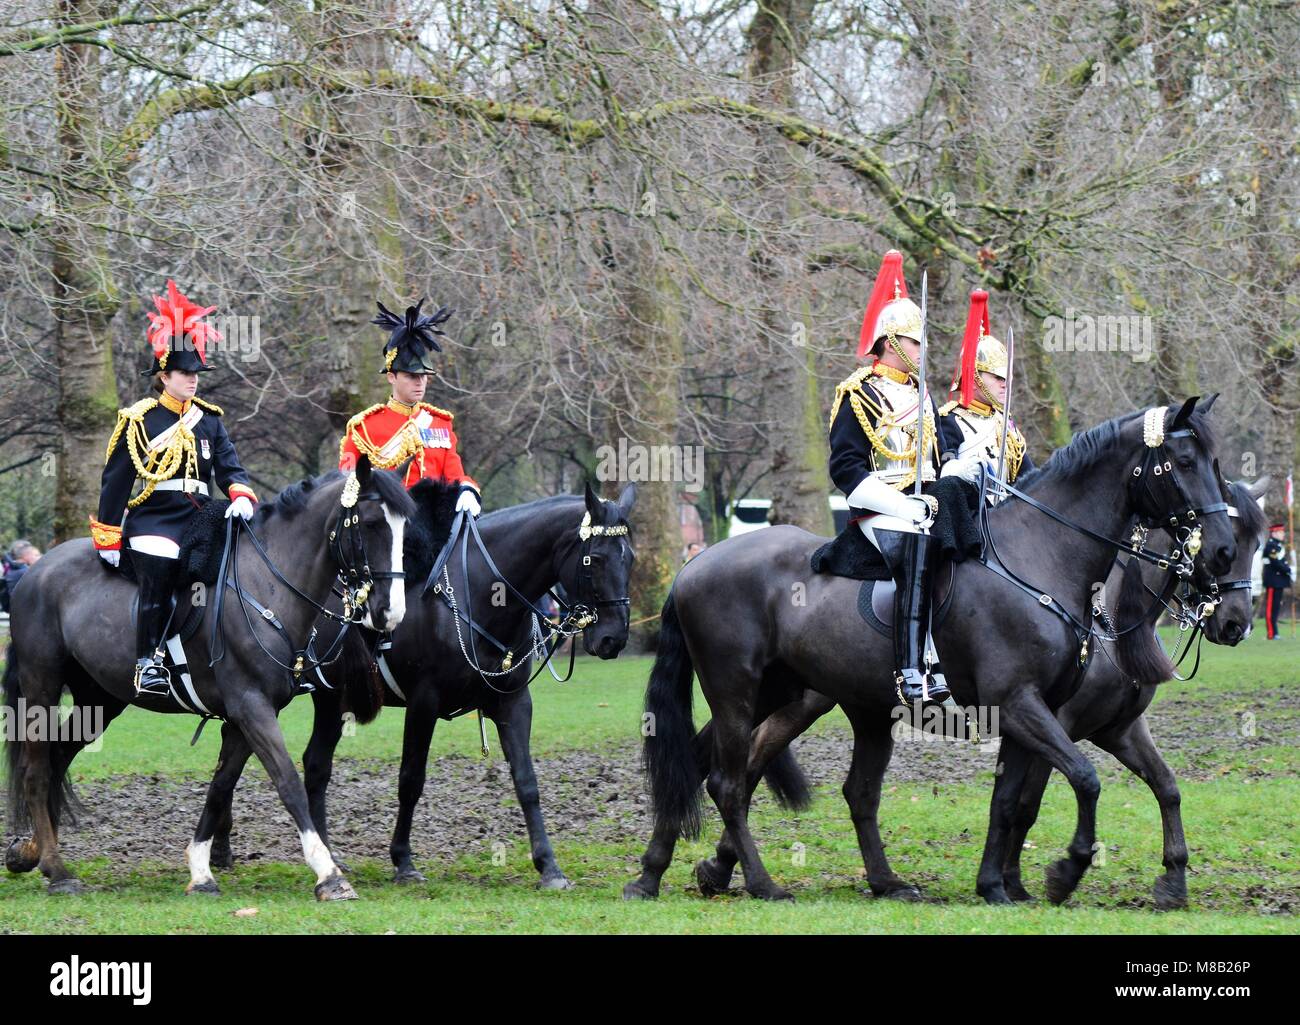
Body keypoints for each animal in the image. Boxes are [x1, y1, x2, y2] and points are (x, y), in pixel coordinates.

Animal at [3, 460, 410, 900]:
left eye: (406, 526)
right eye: (371, 523)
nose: (390, 614)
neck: (267, 583)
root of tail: (36, 571)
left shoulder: (244, 717)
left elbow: (220, 787)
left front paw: (201, 871)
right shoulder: (251, 707)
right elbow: (288, 782)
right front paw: (329, 874)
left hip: (101, 699)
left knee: (59, 757)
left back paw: (32, 852)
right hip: (42, 686)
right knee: (37, 770)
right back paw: (57, 869)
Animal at [195, 481, 637, 889]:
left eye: (629, 557)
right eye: (595, 558)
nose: (613, 639)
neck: (477, 593)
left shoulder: (514, 702)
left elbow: (527, 782)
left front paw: (549, 866)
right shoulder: (424, 703)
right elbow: (411, 780)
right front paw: (403, 861)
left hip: (330, 701)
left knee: (311, 765)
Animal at [629, 400, 1237, 905]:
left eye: (1216, 461)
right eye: (1183, 461)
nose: (1224, 554)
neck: (1037, 554)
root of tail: (695, 563)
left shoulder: (1034, 713)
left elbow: (1014, 801)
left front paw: (997, 885)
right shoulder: (1022, 704)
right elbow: (1083, 779)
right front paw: (1065, 872)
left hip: (787, 696)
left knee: (738, 773)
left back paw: (658, 875)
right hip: (737, 693)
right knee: (729, 784)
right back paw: (761, 883)